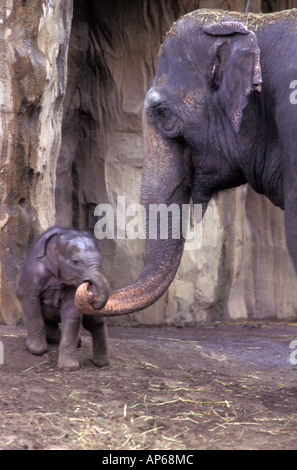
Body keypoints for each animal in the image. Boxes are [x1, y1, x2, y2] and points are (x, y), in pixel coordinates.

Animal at [16, 227, 109, 370]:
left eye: (101, 259)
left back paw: (101, 363)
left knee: (95, 322)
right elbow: (28, 298)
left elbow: (71, 311)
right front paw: (36, 350)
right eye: (76, 261)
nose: (89, 289)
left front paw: (68, 367)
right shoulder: (32, 271)